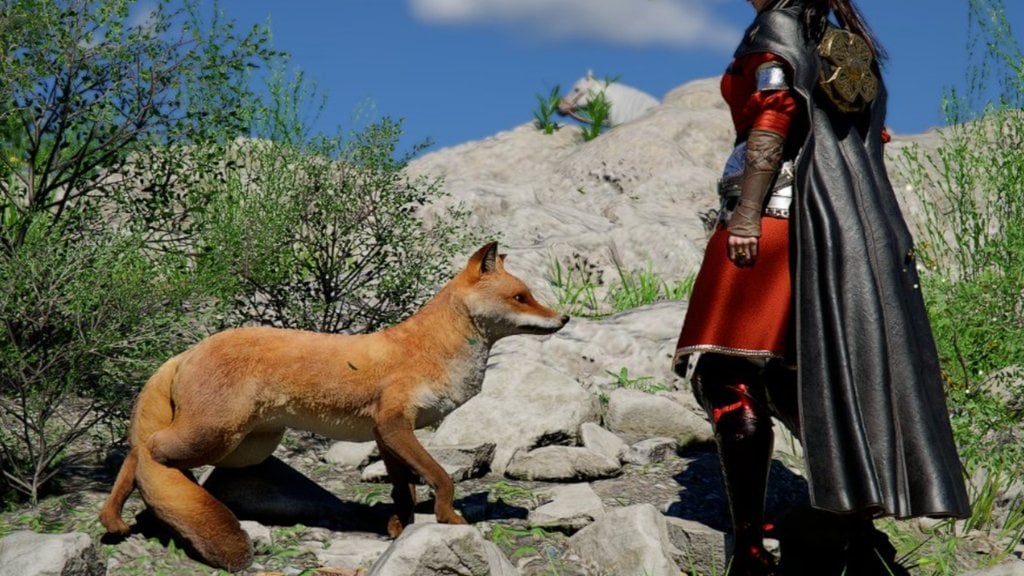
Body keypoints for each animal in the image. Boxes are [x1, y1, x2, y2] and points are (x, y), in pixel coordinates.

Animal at [98, 242, 569, 571]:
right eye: (521, 297)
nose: (564, 318)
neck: (431, 351)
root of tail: (189, 349)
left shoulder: (385, 433)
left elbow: (403, 489)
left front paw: (397, 529)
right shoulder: (395, 424)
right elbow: (440, 478)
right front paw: (448, 519)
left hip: (247, 448)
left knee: (146, 453)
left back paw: (128, 517)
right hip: (213, 436)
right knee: (145, 451)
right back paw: (121, 517)